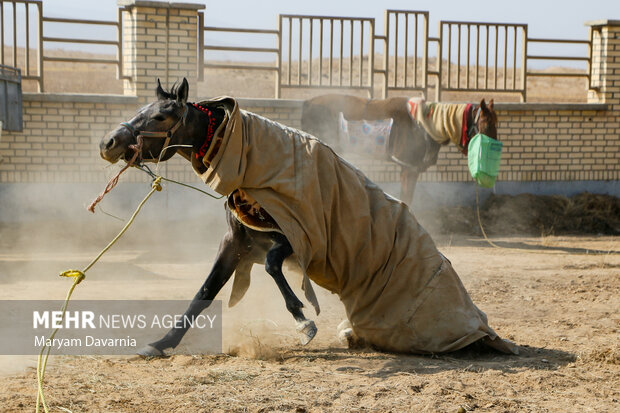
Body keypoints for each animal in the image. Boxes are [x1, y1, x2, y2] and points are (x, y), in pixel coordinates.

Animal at [101, 79, 318, 356]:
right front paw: (162, 342)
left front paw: (302, 320)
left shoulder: (294, 237)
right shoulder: (235, 241)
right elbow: (204, 292)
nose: (108, 143)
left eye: (160, 116)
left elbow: (271, 264)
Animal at [300, 94, 498, 204]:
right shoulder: (408, 169)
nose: (495, 149)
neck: (424, 125)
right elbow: (406, 199)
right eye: (486, 124)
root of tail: (308, 103)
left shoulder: (412, 170)